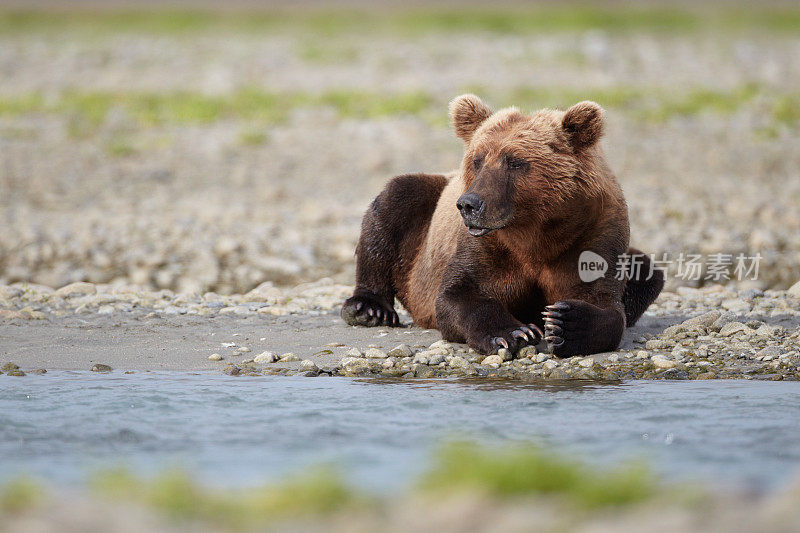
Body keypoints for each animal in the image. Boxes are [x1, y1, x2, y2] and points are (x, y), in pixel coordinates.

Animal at [342, 93, 664, 356]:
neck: (534, 231)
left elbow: (603, 303)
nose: (469, 204)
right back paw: (367, 309)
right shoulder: (487, 245)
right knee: (396, 199)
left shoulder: (593, 233)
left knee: (649, 270)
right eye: (478, 160)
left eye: (515, 162)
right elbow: (459, 295)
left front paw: (565, 322)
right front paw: (513, 333)